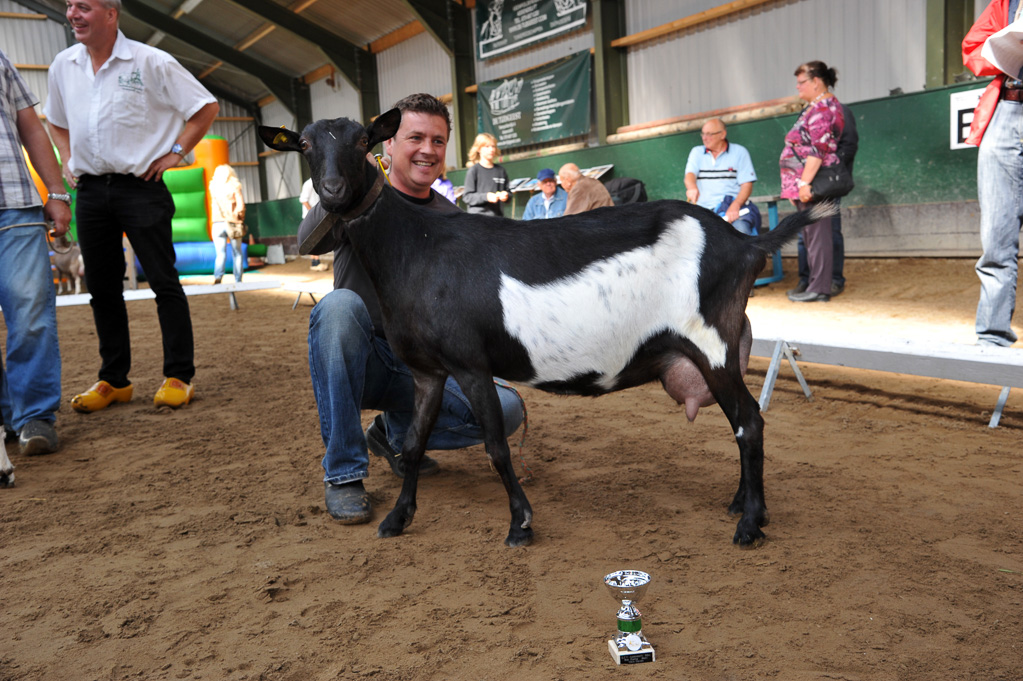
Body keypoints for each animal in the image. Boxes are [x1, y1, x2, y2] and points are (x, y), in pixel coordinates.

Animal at [259, 111, 834, 548]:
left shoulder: (470, 364)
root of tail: (743, 243)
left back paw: (750, 524)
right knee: (742, 422)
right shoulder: (427, 372)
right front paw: (398, 518)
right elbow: (415, 444)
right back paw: (741, 503)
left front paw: (520, 523)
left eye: (362, 141)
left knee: (749, 423)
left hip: (710, 342)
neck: (417, 245)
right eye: (305, 145)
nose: (332, 191)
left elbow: (497, 446)